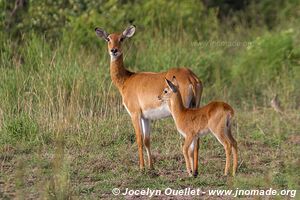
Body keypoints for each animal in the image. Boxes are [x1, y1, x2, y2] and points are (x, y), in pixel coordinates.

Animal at [95, 25, 204, 173]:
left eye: (122, 38)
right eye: (108, 39)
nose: (114, 50)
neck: (126, 80)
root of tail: (191, 78)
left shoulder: (135, 114)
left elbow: (139, 139)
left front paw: (141, 167)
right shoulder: (145, 117)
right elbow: (147, 140)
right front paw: (151, 167)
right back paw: (196, 170)